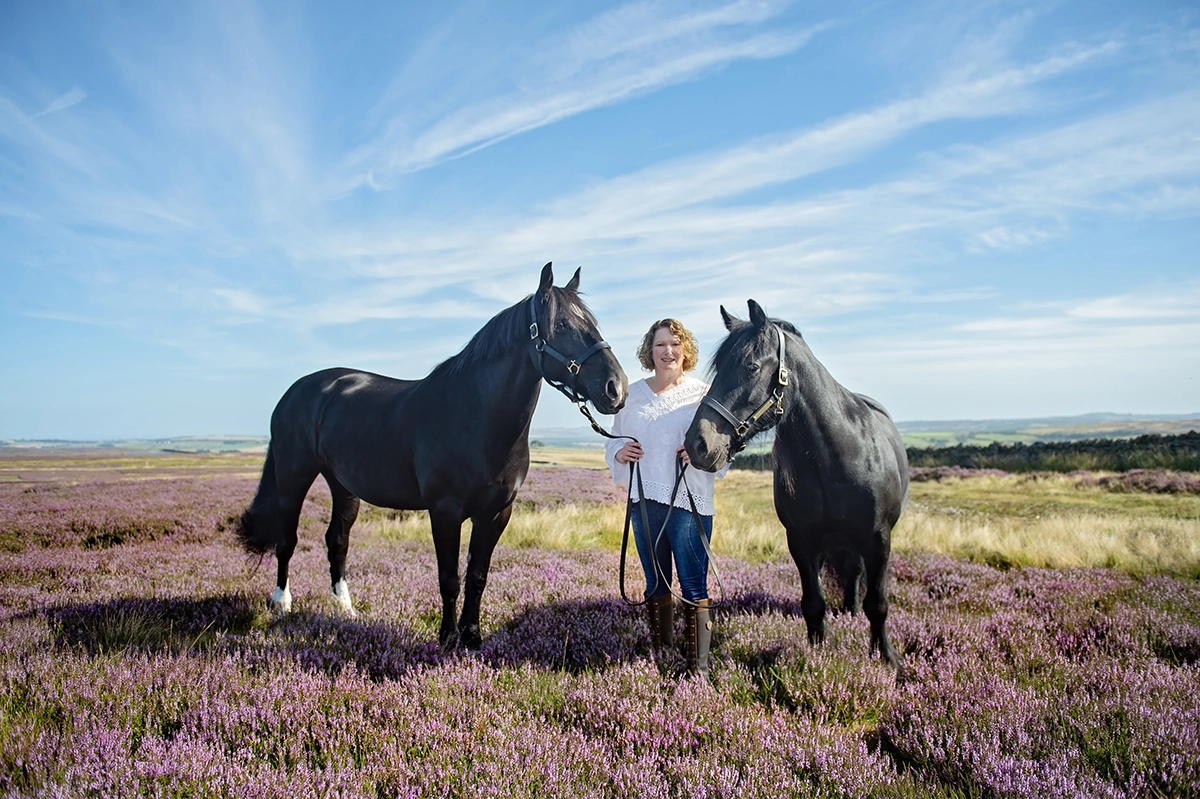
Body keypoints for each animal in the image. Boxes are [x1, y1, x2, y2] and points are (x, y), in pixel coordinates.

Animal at [234, 263, 628, 649]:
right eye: (561, 325)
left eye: (592, 323)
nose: (617, 389)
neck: (475, 417)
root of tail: (298, 390)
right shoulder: (445, 511)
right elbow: (449, 577)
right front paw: (448, 638)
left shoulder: (496, 513)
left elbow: (477, 576)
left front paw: (473, 637)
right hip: (293, 478)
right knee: (287, 540)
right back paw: (281, 604)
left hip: (343, 486)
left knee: (337, 542)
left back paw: (345, 608)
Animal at [684, 300, 908, 667]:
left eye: (750, 366)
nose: (697, 444)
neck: (836, 459)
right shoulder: (801, 542)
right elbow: (813, 603)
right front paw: (817, 654)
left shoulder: (879, 540)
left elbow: (878, 604)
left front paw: (886, 658)